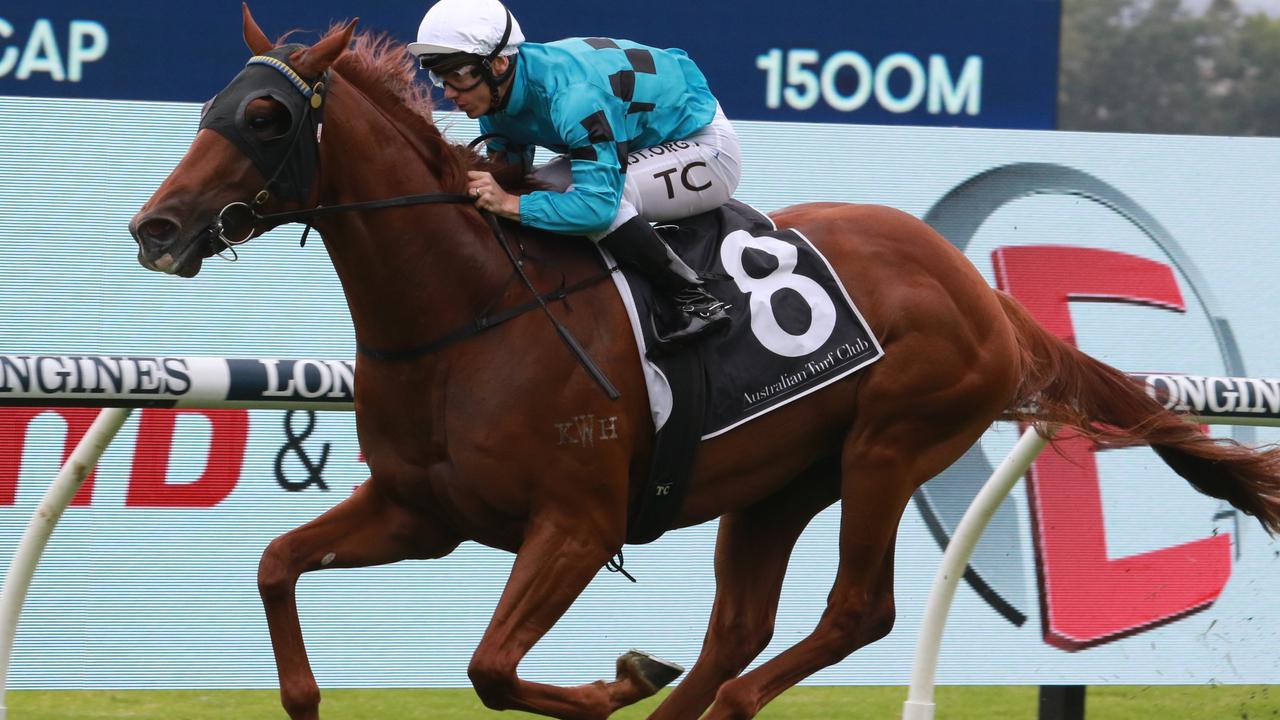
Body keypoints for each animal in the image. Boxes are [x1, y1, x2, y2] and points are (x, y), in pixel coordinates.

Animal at [127, 7, 1280, 717]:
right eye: (210, 106)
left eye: (267, 114)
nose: (155, 227)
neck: (470, 314)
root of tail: (978, 288)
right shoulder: (423, 513)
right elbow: (276, 566)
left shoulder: (577, 525)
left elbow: (492, 667)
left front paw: (618, 681)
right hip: (775, 481)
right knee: (739, 625)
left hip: (890, 444)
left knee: (852, 612)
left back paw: (710, 699)